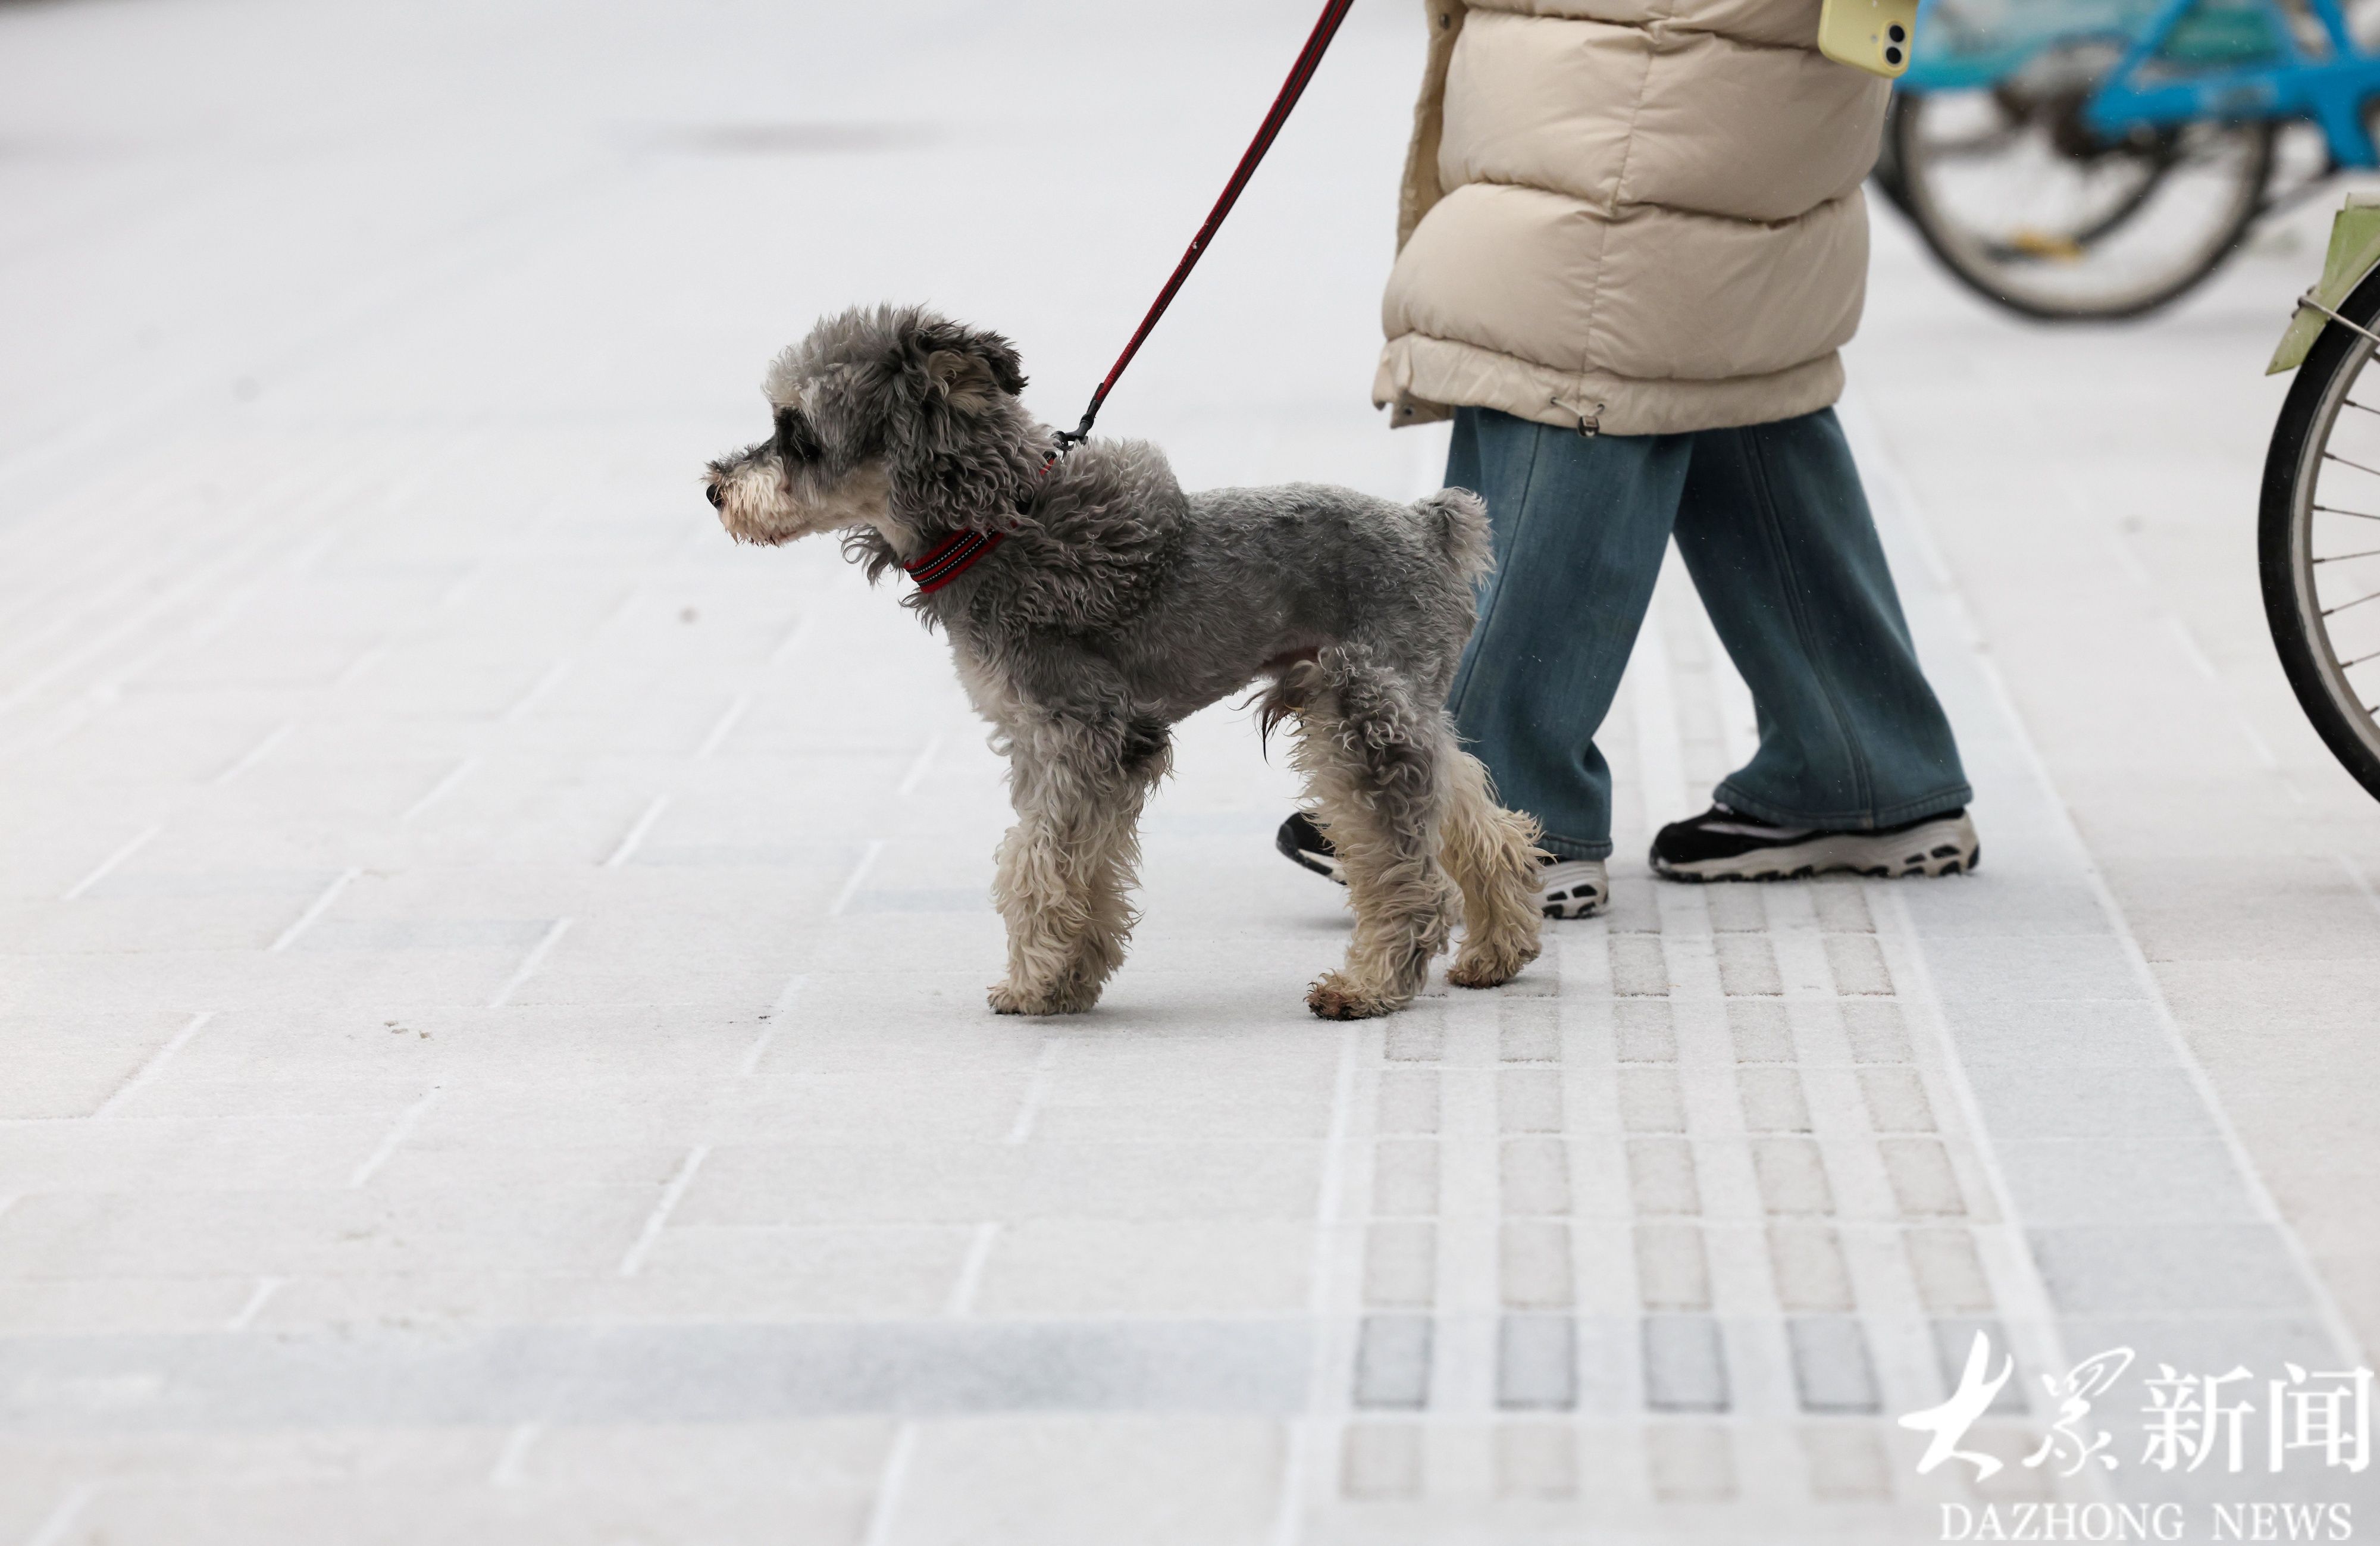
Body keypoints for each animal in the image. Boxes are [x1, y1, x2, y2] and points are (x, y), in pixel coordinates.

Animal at [704, 305, 1543, 1019]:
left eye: (798, 432)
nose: (715, 488)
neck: (989, 529)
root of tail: (1429, 527)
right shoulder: (1051, 743)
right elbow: (1078, 864)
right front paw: (1071, 974)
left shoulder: (1083, 734)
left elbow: (1040, 863)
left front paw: (1037, 982)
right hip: (1398, 709)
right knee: (1478, 817)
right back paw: (1496, 950)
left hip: (1360, 715)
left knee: (1407, 867)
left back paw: (1370, 983)